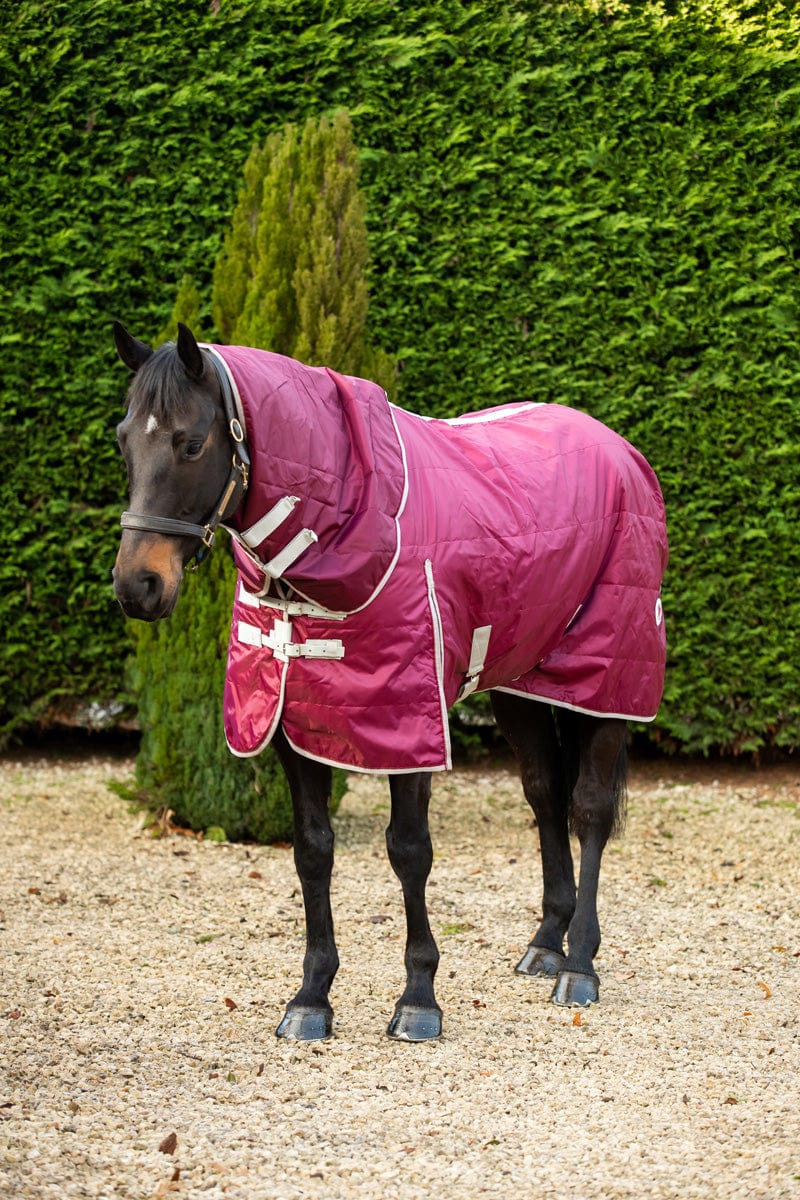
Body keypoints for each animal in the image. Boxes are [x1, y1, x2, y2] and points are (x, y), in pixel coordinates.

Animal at [112, 321, 668, 1042]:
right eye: (124, 438)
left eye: (190, 442)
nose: (138, 585)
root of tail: (619, 449)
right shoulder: (294, 721)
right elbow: (312, 851)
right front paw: (311, 997)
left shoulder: (410, 724)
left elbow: (409, 851)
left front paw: (419, 998)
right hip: (519, 685)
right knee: (545, 796)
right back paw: (547, 942)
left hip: (606, 683)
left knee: (590, 808)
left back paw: (579, 965)